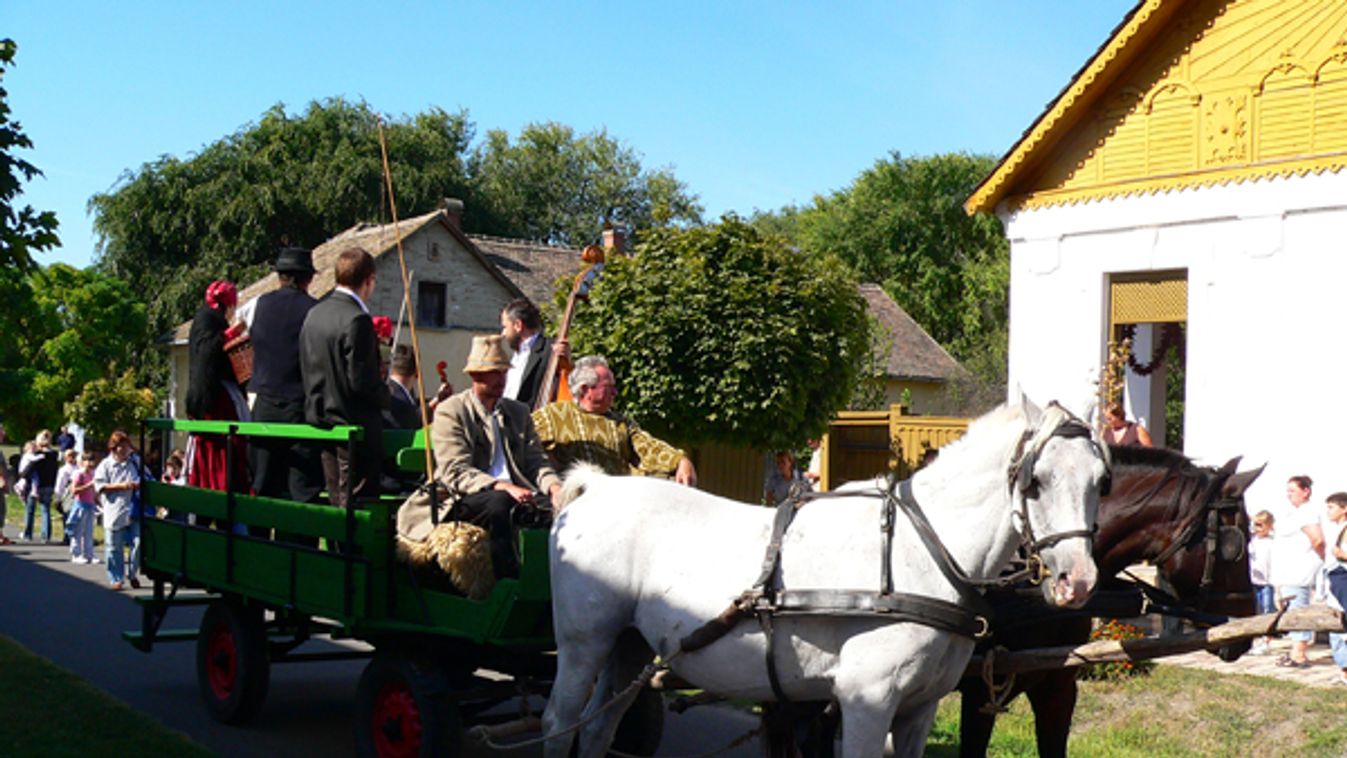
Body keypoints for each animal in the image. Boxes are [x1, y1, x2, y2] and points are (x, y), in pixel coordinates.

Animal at [541, 398, 1109, 758]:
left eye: (1102, 481)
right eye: (1036, 482)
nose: (1078, 581)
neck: (921, 554)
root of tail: (598, 488)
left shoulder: (919, 709)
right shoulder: (867, 700)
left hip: (630, 645)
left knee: (598, 728)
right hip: (584, 643)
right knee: (558, 725)